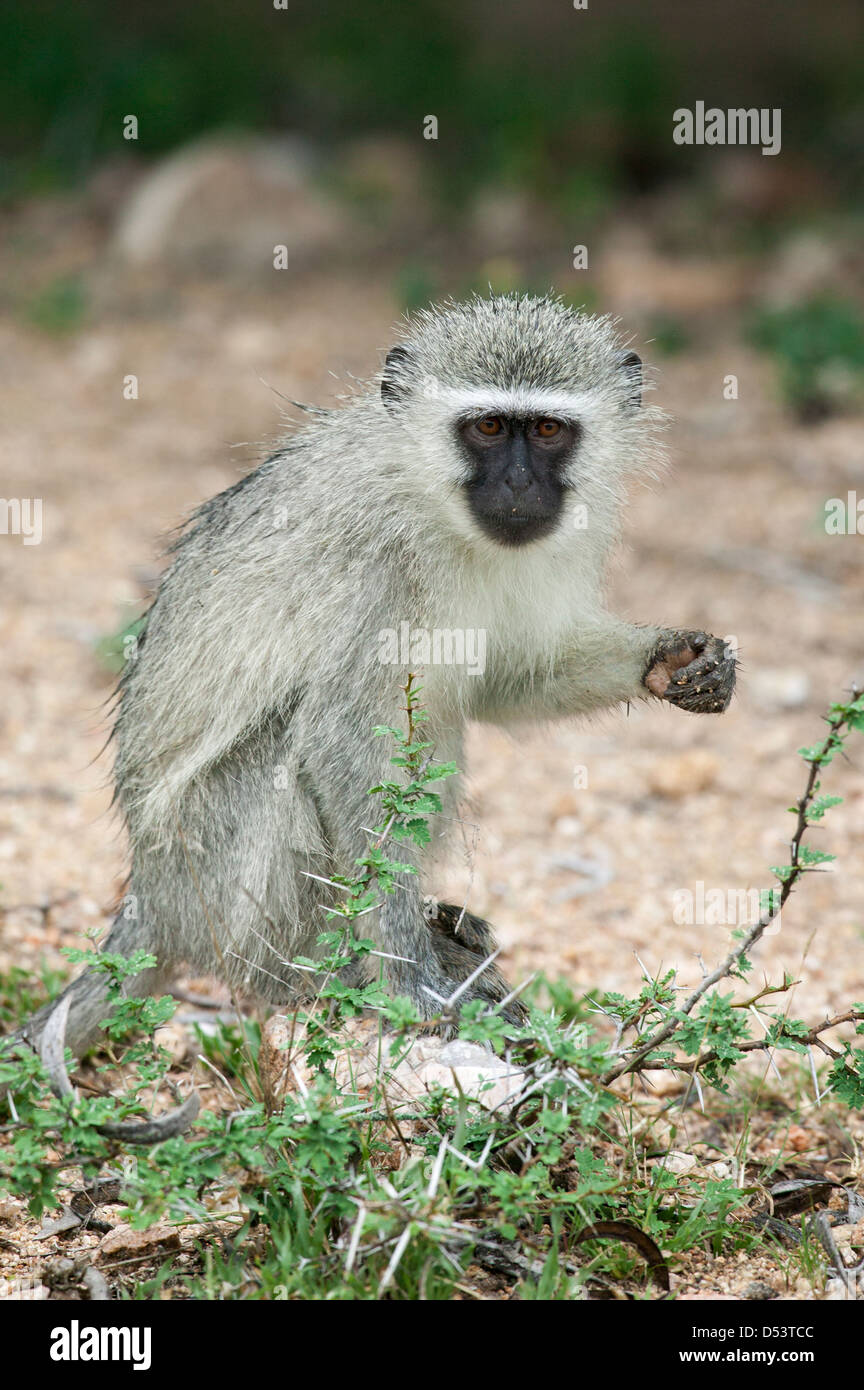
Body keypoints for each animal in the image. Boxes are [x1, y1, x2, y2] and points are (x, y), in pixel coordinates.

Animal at [18, 293, 738, 1050]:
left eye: (546, 429)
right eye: (487, 426)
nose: (517, 482)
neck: (437, 507)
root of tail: (152, 896)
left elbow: (509, 676)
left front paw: (673, 659)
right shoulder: (375, 567)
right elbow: (344, 740)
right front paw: (404, 977)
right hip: (209, 867)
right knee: (295, 762)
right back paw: (320, 966)